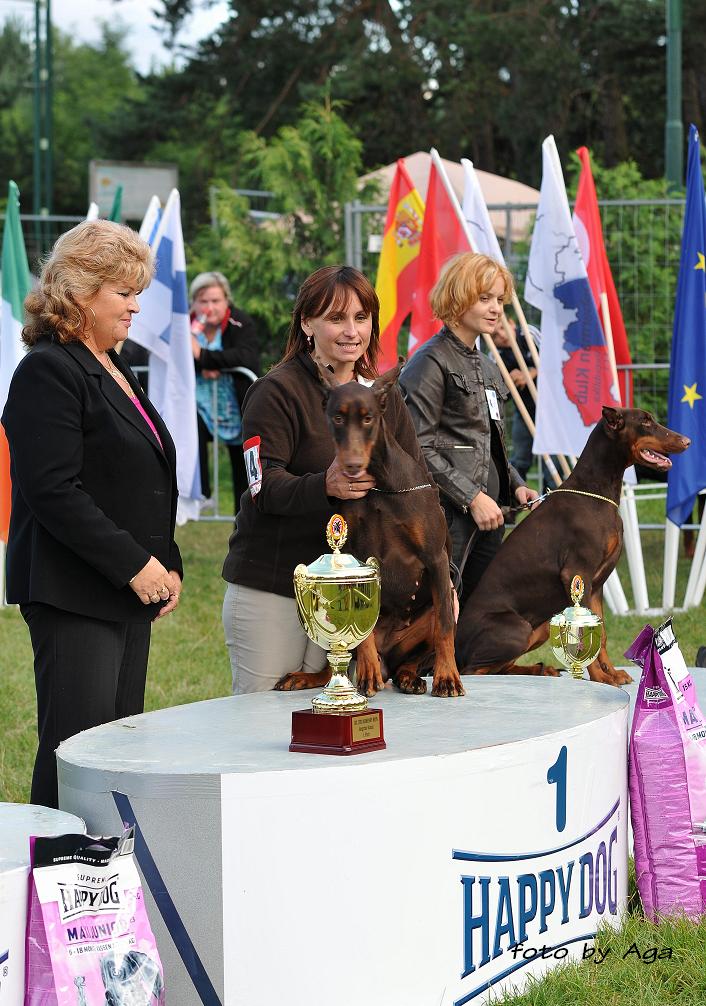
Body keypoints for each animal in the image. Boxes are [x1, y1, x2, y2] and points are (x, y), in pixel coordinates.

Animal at [455, 407, 690, 684]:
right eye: (645, 422)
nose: (687, 441)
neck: (595, 491)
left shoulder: (596, 585)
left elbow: (602, 633)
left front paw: (612, 673)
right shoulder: (577, 575)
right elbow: (585, 635)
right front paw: (601, 678)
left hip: (541, 627)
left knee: (500, 666)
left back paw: (540, 669)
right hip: (517, 628)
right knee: (474, 670)